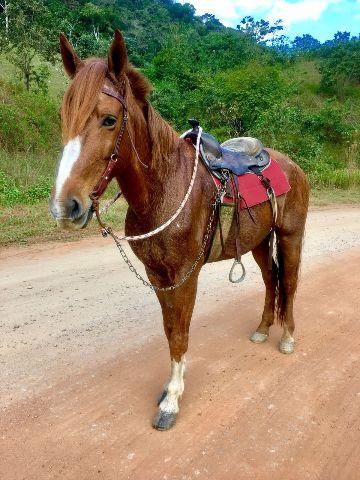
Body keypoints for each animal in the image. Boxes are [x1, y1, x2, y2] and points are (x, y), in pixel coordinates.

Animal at [49, 31, 310, 434]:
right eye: (64, 117)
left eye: (109, 120)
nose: (67, 206)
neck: (164, 188)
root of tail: (292, 166)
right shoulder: (158, 276)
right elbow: (169, 329)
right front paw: (171, 388)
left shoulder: (185, 276)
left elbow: (180, 334)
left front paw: (172, 400)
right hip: (258, 243)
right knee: (271, 281)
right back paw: (263, 329)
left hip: (290, 236)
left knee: (291, 283)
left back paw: (287, 338)